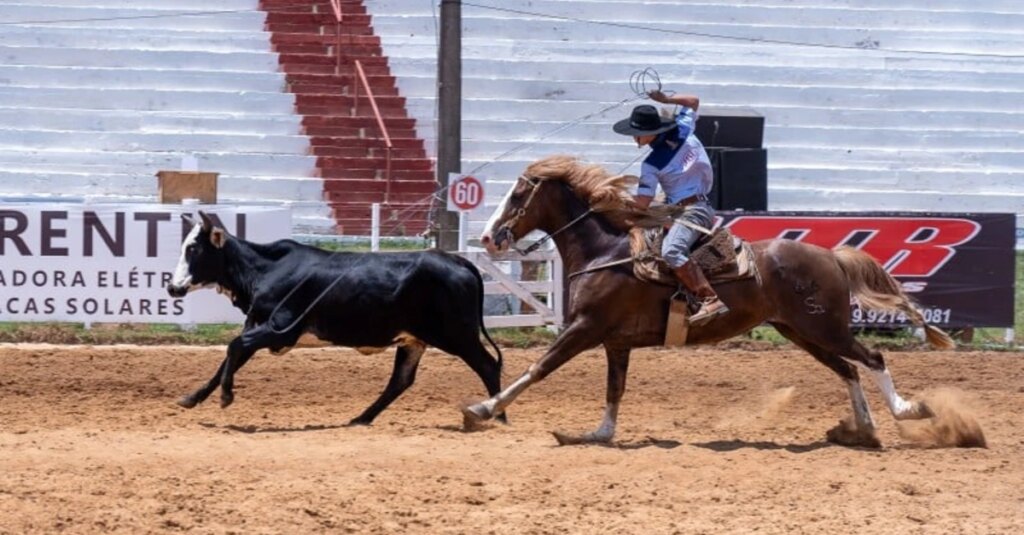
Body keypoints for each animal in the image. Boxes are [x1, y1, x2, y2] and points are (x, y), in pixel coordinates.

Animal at [460, 153, 954, 444]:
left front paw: (482, 408)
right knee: (848, 369)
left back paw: (906, 410)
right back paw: (864, 429)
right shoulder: (615, 341)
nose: (487, 237)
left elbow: (538, 368)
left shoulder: (585, 328)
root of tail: (830, 255)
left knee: (872, 358)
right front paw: (599, 433)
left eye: (519, 194)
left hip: (824, 327)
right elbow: (614, 388)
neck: (608, 253)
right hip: (801, 332)